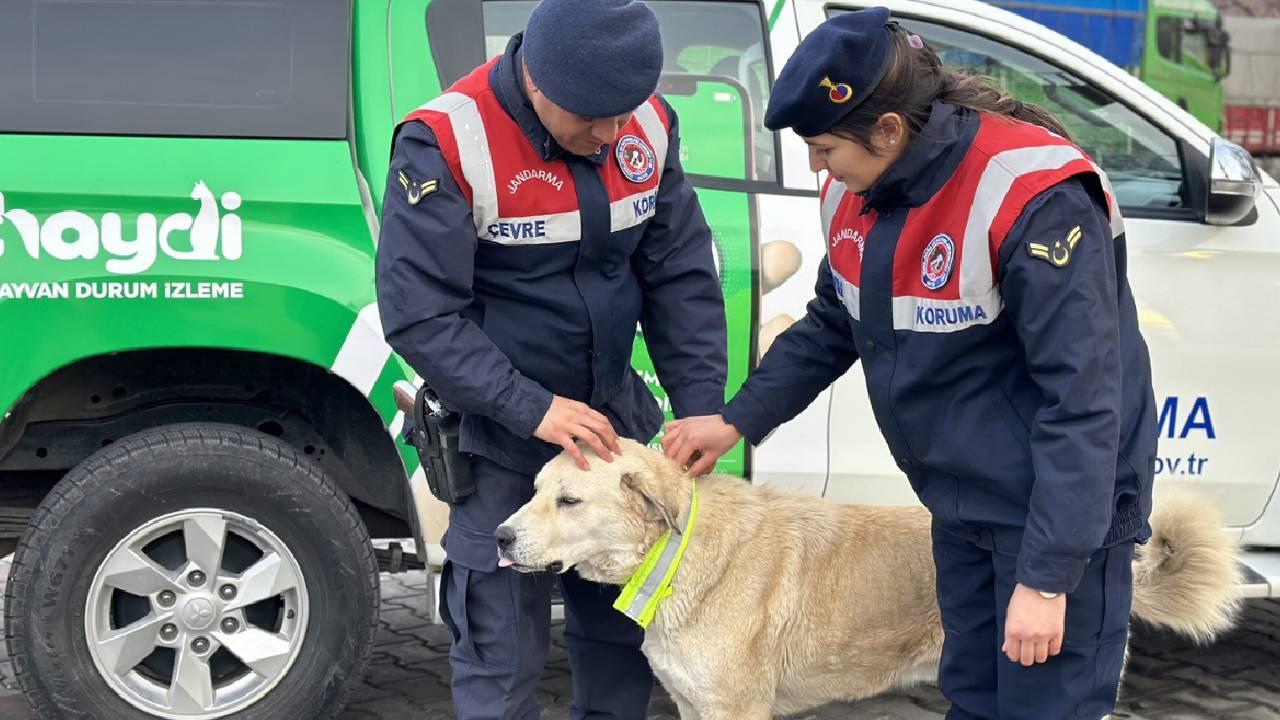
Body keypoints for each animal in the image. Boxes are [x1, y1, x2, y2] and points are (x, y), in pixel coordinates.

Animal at [496, 438, 1239, 717]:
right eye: (532, 492)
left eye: (569, 501)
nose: (499, 538)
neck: (676, 554)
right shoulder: (692, 704)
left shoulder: (737, 709)